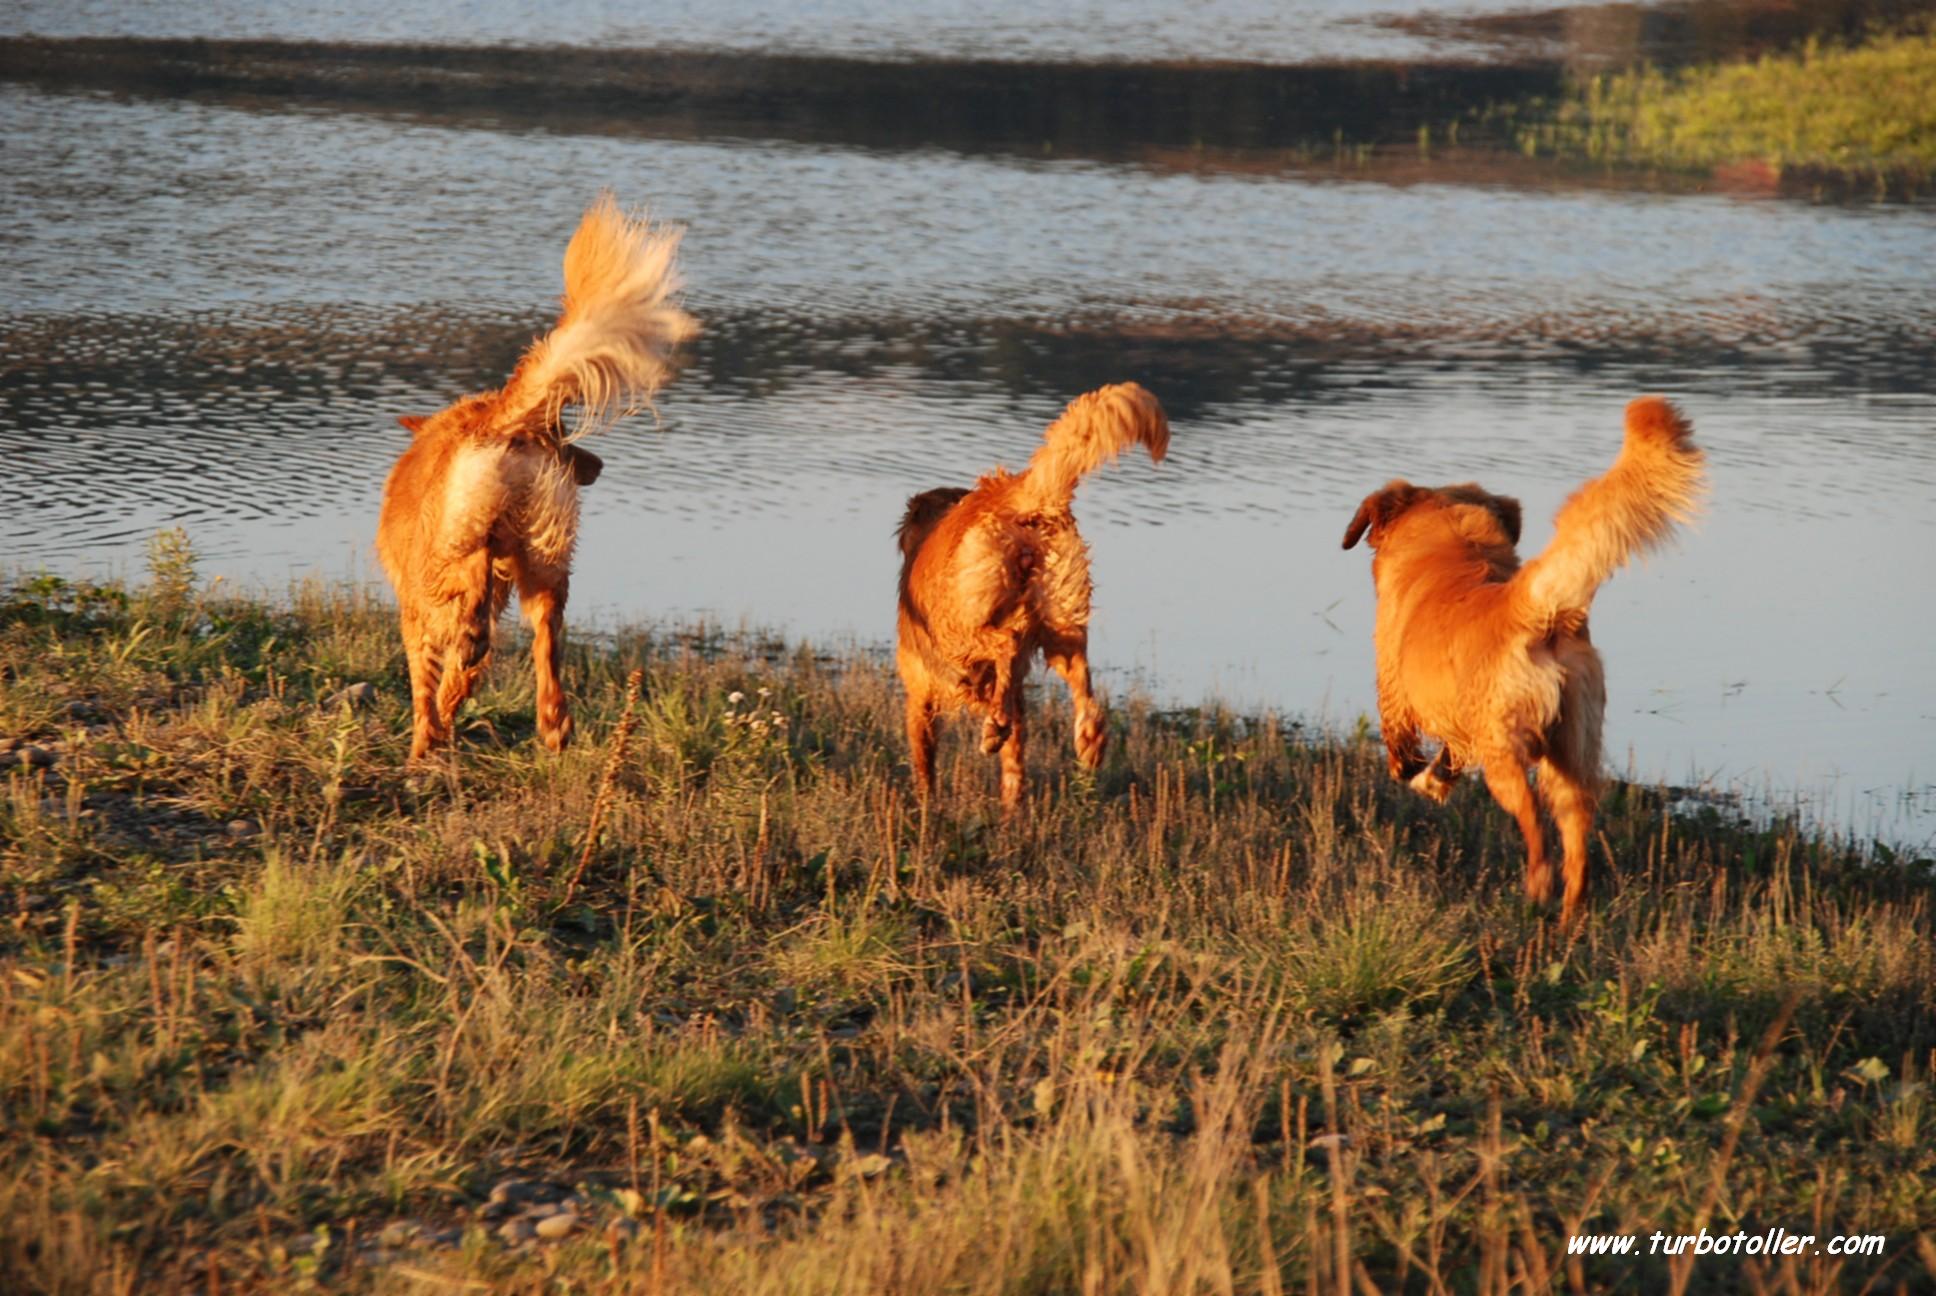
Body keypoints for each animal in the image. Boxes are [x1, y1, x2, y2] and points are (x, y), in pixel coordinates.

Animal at [373, 194, 693, 759]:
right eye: (565, 432)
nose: (597, 466)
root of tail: (504, 423)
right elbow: (457, 682)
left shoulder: (414, 609)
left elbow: (425, 686)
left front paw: (423, 744)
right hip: (548, 559)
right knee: (546, 637)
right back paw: (554, 722)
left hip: (449, 554)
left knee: (474, 577)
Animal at [890, 381, 1161, 809]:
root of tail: (1018, 495)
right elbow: (1015, 760)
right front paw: (1011, 809)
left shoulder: (920, 696)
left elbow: (924, 763)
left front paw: (926, 808)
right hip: (1063, 622)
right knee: (1082, 683)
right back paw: (1088, 740)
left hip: (960, 628)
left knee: (1006, 640)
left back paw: (997, 725)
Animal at [1347, 395, 1711, 918]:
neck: (1452, 549)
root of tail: (1535, 611)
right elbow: (1449, 758)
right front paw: (1434, 781)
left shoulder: (1394, 690)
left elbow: (1400, 742)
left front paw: (1413, 774)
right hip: (1574, 753)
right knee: (1576, 844)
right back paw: (1569, 915)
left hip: (1506, 752)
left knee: (1533, 821)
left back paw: (1537, 886)